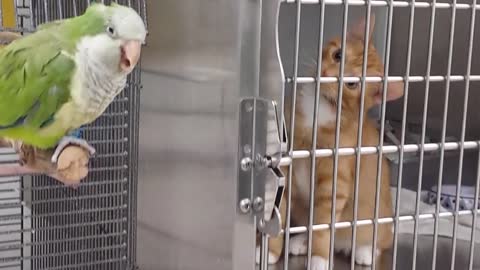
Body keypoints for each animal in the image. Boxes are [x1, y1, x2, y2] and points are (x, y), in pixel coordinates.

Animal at [255, 15, 404, 270]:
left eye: (351, 83)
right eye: (338, 55)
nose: (325, 72)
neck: (320, 108)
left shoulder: (334, 181)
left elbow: (323, 226)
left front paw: (319, 258)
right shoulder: (286, 168)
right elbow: (281, 214)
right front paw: (271, 252)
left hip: (374, 223)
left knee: (381, 238)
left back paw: (365, 250)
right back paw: (300, 241)